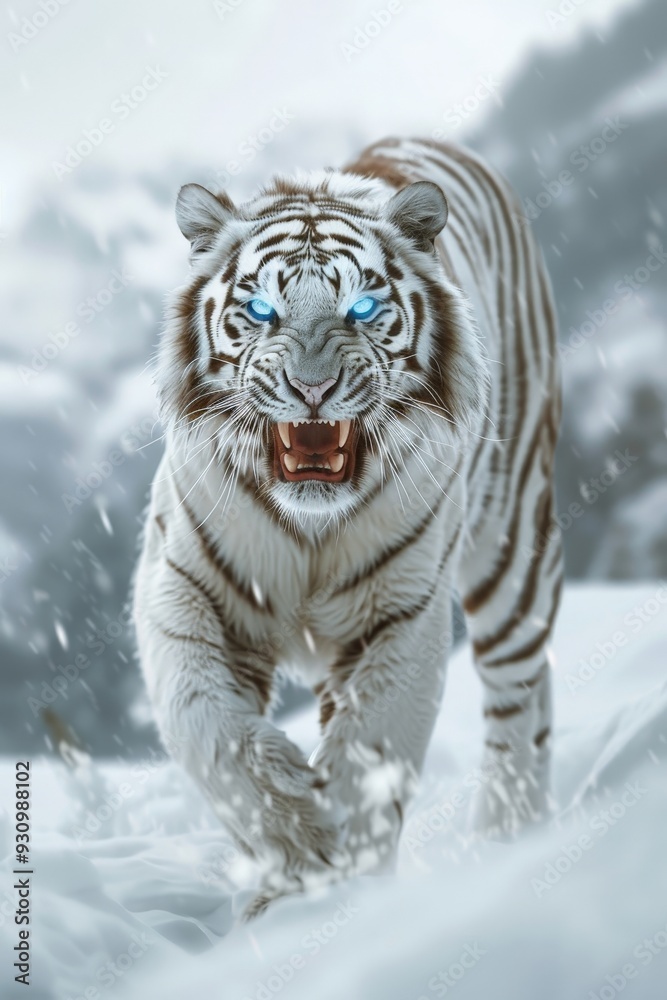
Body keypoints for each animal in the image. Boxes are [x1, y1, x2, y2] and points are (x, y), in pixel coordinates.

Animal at [133, 136, 562, 919]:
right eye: (261, 308)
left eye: (361, 307)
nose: (312, 389)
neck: (310, 529)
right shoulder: (181, 590)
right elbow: (208, 728)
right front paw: (295, 848)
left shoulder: (401, 614)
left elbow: (373, 751)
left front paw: (339, 886)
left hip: (511, 539)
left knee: (518, 687)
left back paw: (506, 839)